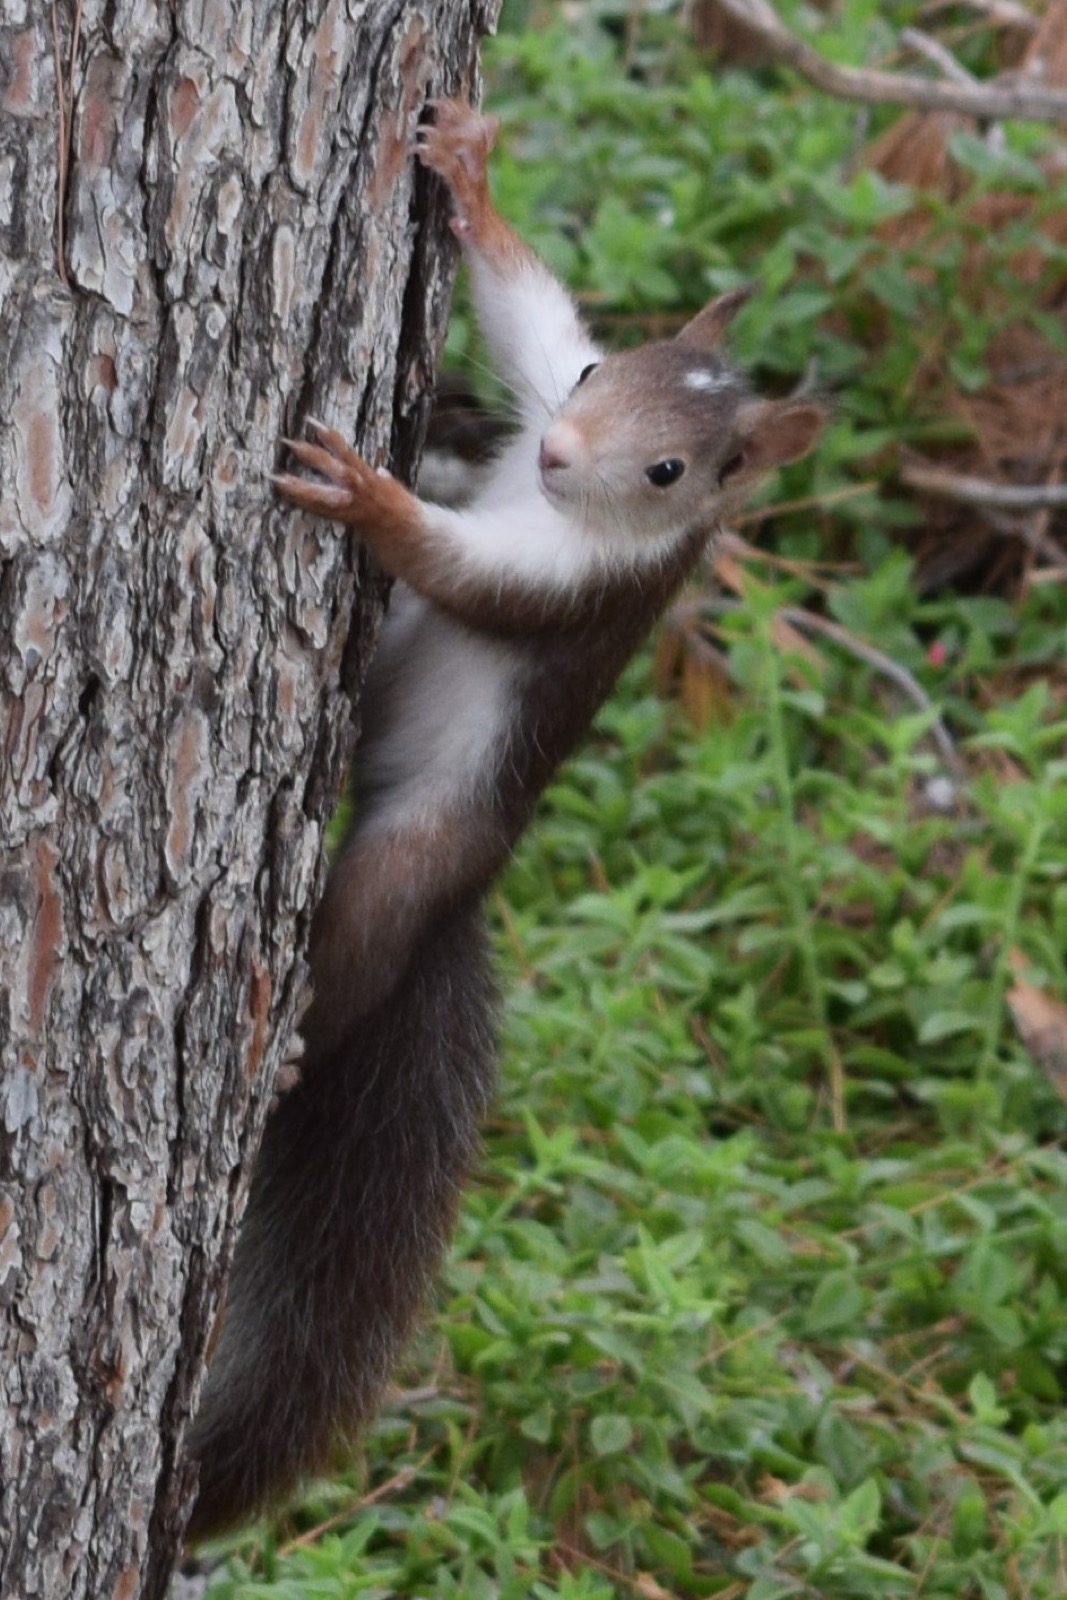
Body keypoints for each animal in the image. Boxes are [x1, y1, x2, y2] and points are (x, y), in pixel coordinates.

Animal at [185, 96, 824, 1538]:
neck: (552, 499)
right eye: (595, 375)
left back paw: (294, 1038)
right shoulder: (535, 388)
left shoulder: (582, 589)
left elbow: (463, 572)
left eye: (667, 470)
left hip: (412, 865)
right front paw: (470, 183)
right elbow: (521, 306)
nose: (552, 452)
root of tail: (468, 899)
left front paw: (374, 499)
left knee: (358, 949)